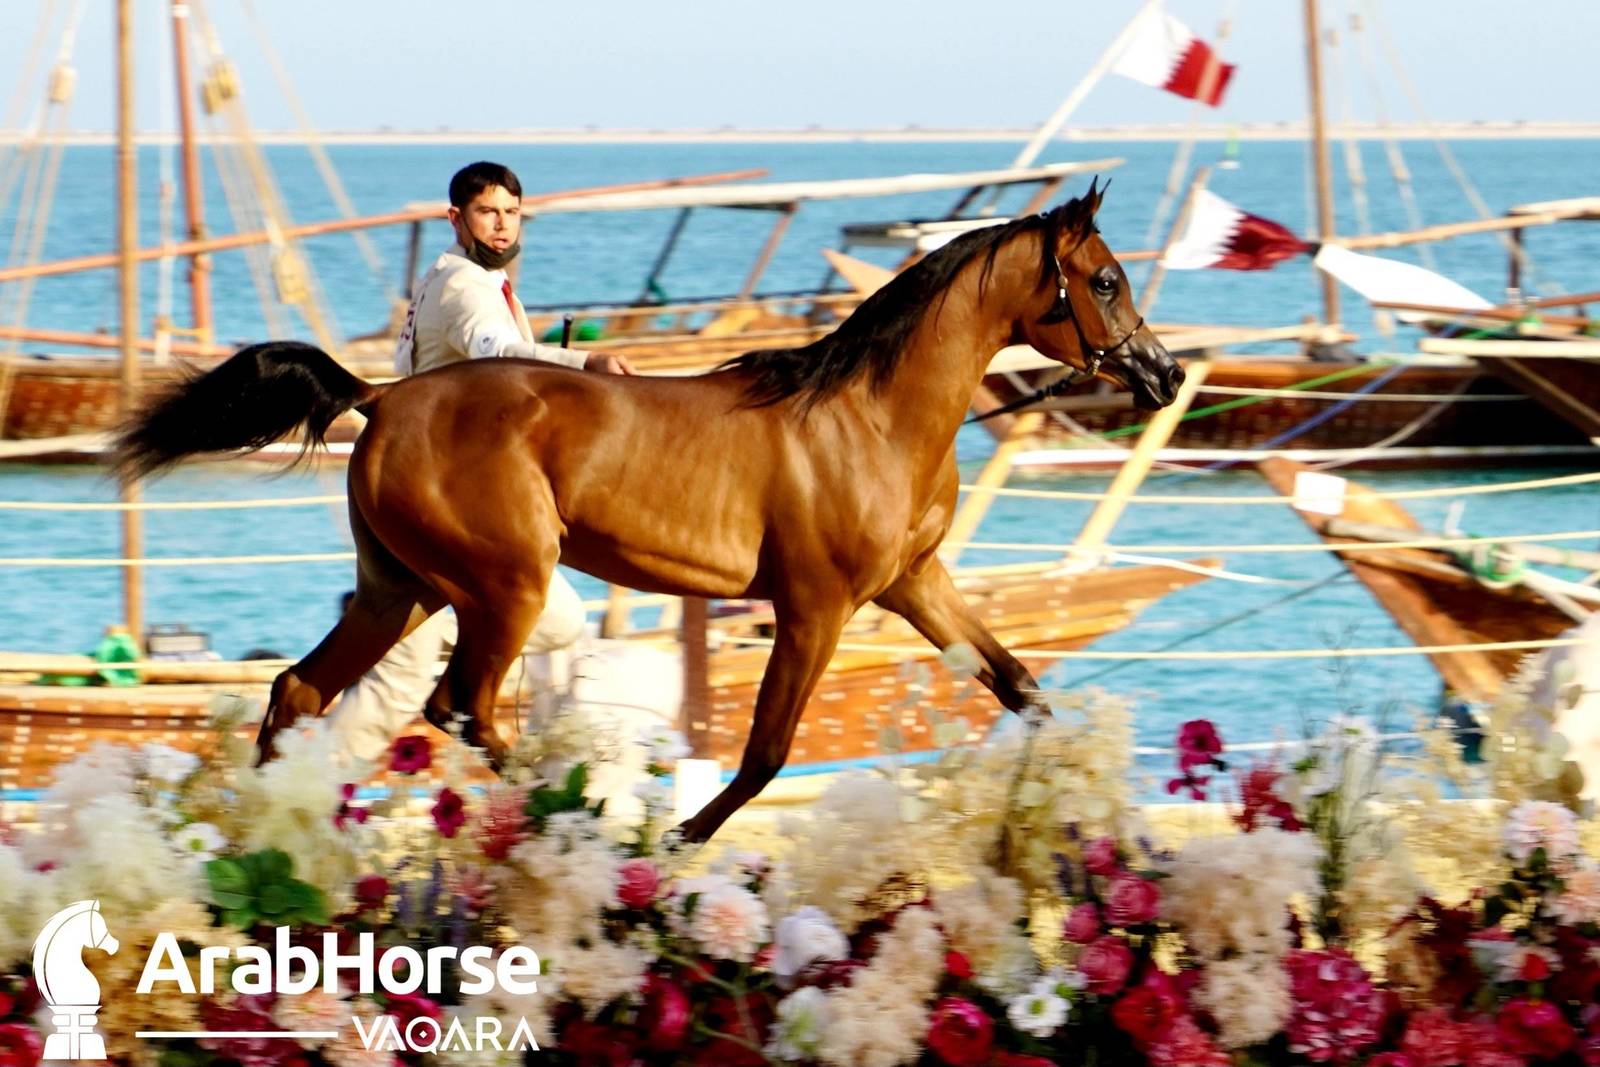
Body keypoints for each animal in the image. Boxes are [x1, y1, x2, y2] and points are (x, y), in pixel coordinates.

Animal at [115, 180, 1183, 843]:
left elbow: (1023, 690)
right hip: (504, 586)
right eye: (1105, 277)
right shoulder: (815, 607)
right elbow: (762, 754)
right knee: (459, 705)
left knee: (302, 690)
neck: (868, 416)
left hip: (403, 588)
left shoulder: (914, 585)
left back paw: (254, 840)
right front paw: (673, 841)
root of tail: (381, 398)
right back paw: (574, 816)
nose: (1165, 374)